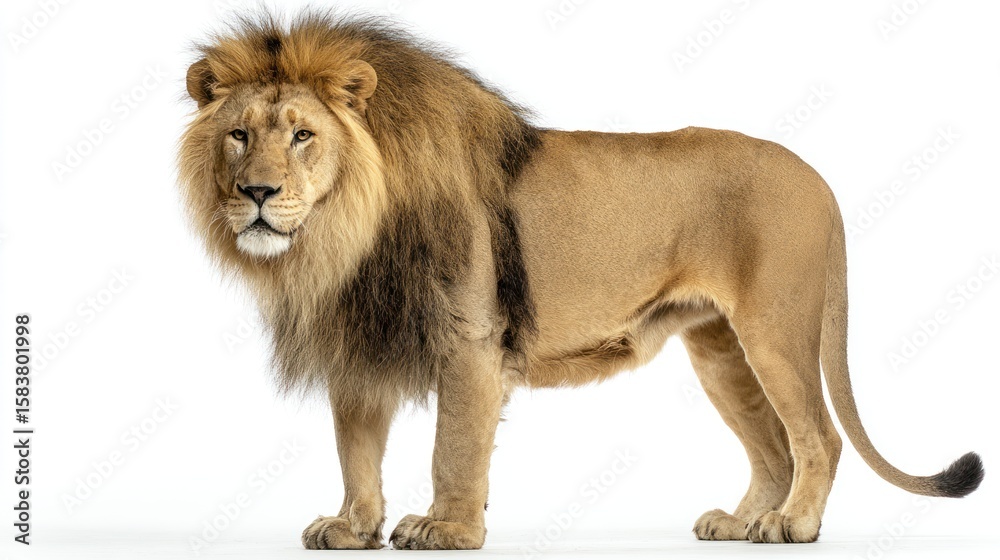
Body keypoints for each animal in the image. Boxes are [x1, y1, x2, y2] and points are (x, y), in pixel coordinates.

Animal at [177, 11, 984, 550]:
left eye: (303, 135)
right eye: (238, 135)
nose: (255, 192)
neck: (345, 234)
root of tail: (818, 176)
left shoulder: (470, 339)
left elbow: (454, 447)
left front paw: (448, 528)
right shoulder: (358, 341)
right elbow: (356, 451)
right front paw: (352, 527)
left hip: (774, 328)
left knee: (818, 436)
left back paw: (794, 523)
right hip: (718, 348)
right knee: (774, 446)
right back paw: (741, 519)